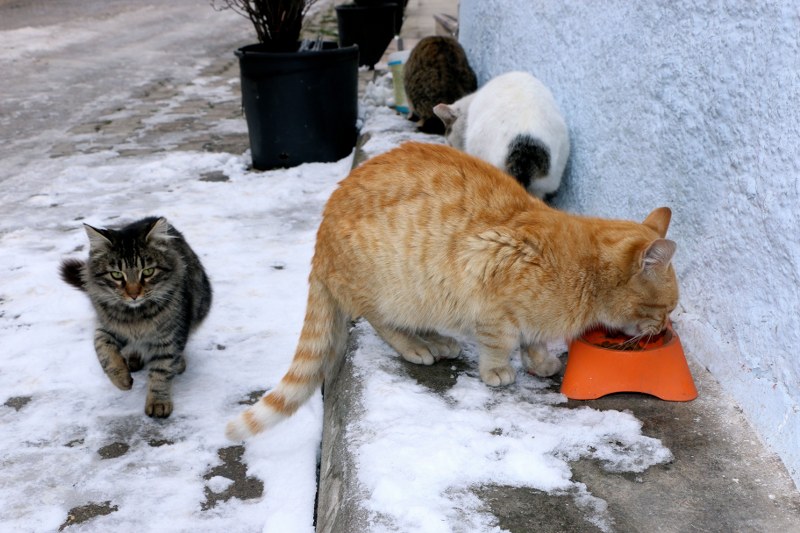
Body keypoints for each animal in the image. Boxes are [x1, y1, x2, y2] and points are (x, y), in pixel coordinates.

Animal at [60, 215, 211, 416]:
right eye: (116, 275)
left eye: (148, 271)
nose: (133, 294)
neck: (136, 316)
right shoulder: (107, 326)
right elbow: (103, 350)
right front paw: (121, 379)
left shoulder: (170, 336)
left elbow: (161, 370)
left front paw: (158, 402)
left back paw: (178, 364)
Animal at [225, 139, 676, 438]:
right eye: (667, 308)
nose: (663, 329)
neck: (583, 269)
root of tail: (320, 238)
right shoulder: (490, 287)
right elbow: (500, 341)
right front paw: (499, 370)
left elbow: (532, 339)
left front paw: (539, 359)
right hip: (396, 290)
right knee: (378, 321)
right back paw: (417, 347)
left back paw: (438, 341)